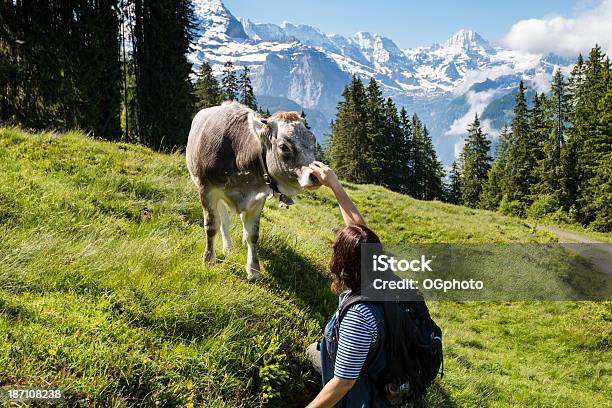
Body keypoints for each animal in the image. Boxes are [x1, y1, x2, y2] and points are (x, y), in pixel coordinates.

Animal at [186, 101, 320, 280]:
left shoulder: (258, 198)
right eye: (284, 147)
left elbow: (253, 233)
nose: (316, 175)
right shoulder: (207, 190)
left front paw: (254, 270)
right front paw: (208, 260)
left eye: (313, 141)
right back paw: (228, 247)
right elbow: (212, 226)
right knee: (223, 220)